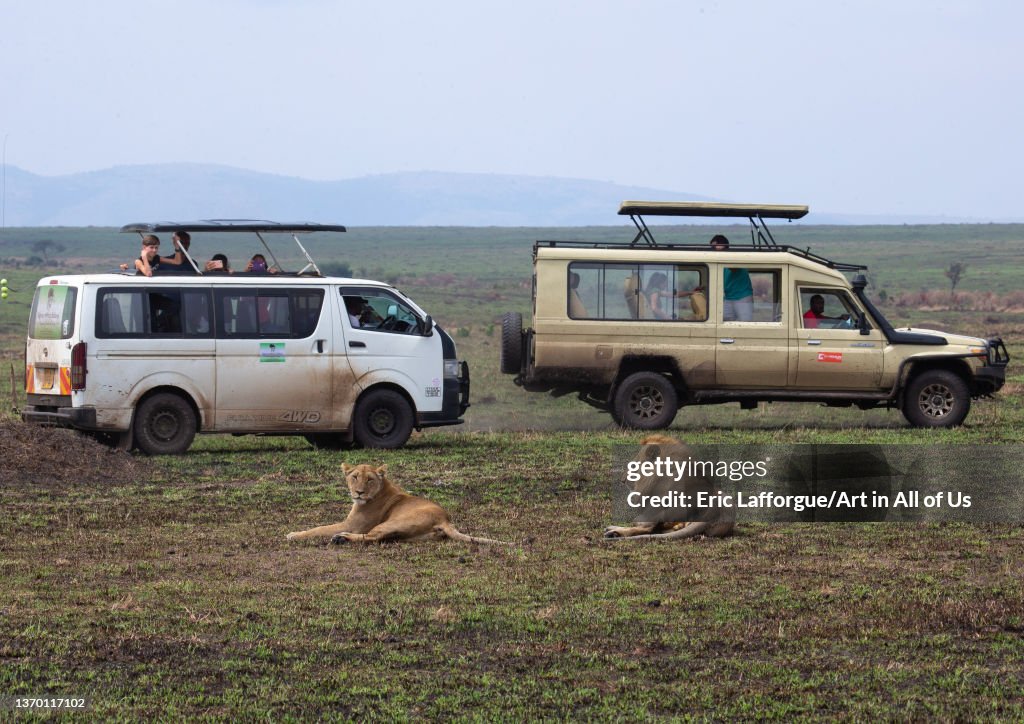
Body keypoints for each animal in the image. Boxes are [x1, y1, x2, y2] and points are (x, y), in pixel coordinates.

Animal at [286, 463, 510, 545]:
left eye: (369, 479)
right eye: (355, 477)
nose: (359, 492)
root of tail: (445, 519)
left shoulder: (353, 525)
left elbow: (318, 528)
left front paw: (293, 534)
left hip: (391, 522)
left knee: (372, 537)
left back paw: (341, 538)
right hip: (410, 534)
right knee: (382, 538)